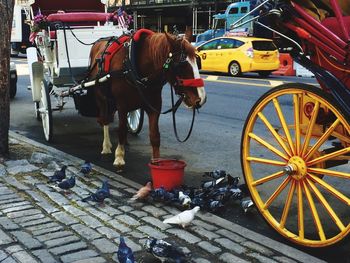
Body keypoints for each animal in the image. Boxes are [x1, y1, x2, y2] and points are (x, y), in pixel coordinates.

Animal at [87, 30, 206, 169]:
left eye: (197, 61)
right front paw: (119, 156)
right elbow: (121, 129)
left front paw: (156, 162)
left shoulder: (154, 105)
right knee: (105, 119)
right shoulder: (122, 105)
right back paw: (106, 146)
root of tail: (98, 43)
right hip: (101, 97)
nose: (201, 98)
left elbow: (155, 136)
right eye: (181, 65)